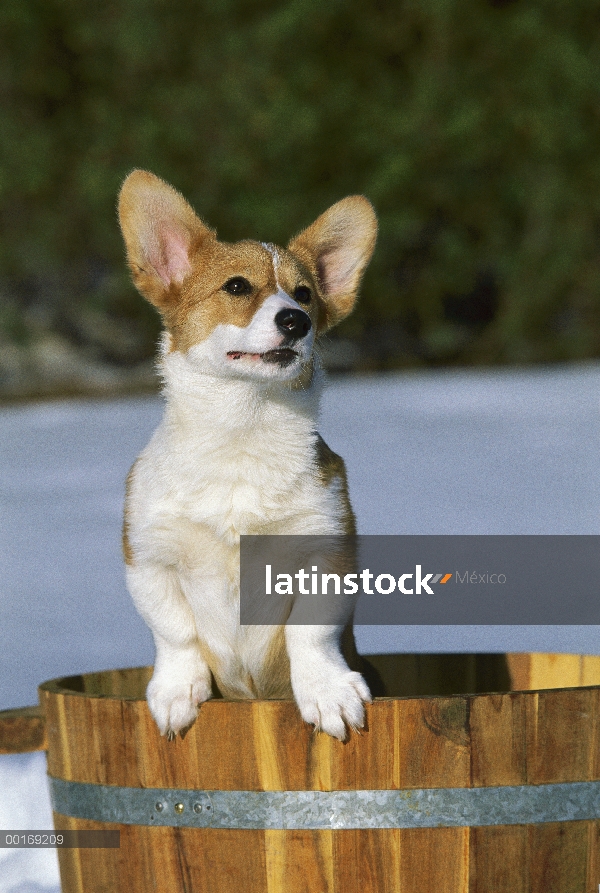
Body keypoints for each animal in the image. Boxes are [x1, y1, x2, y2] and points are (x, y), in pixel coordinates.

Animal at [119, 167, 378, 740]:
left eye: (305, 294)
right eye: (237, 286)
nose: (296, 321)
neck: (243, 428)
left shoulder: (325, 551)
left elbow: (312, 634)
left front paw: (327, 692)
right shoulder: (150, 558)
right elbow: (174, 633)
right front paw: (177, 693)